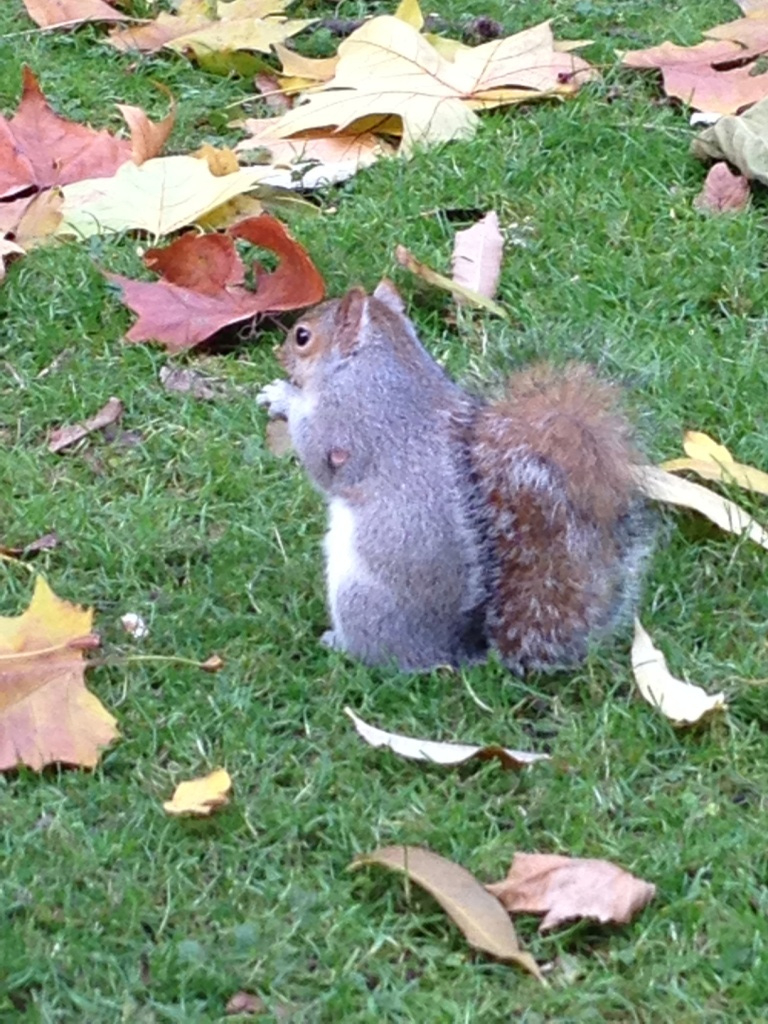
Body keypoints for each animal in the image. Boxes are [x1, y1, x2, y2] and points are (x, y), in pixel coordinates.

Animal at [260, 280, 655, 675]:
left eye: (302, 336)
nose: (279, 356)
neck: (370, 360)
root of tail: (450, 653)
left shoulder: (345, 422)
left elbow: (321, 460)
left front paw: (284, 396)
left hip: (359, 597)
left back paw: (338, 645)